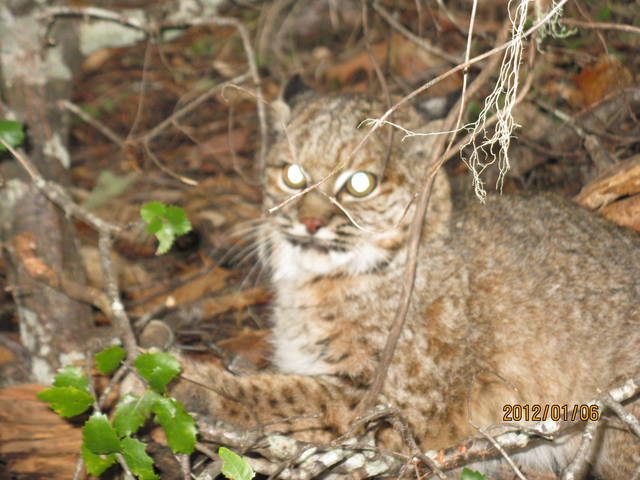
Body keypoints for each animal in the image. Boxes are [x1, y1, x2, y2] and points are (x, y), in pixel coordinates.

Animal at [158, 88, 640, 479]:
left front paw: (182, 386)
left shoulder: (396, 407)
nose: (310, 223)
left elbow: (285, 396)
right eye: (292, 175)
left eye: (360, 184)